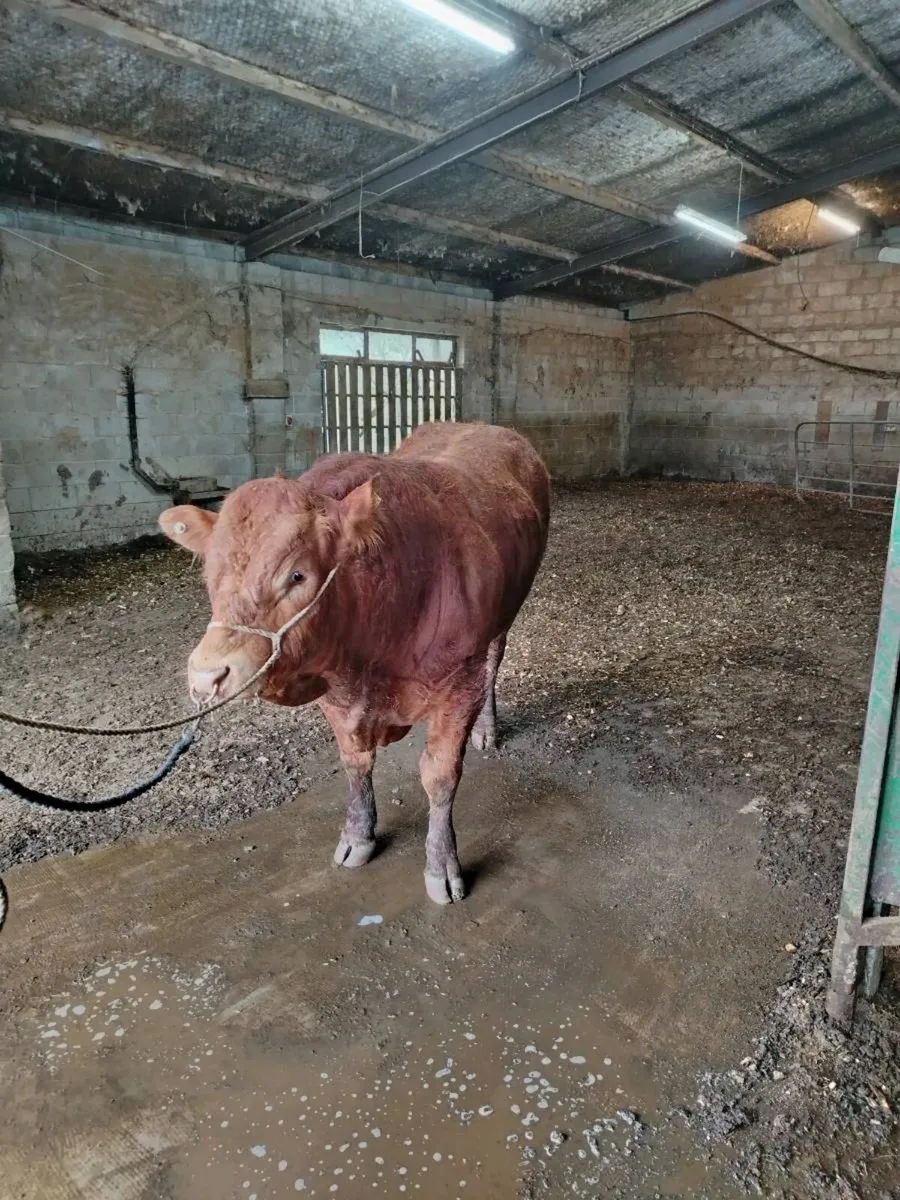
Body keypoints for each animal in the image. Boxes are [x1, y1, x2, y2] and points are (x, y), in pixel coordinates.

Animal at [159, 421, 550, 904]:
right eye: (209, 574)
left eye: (297, 575)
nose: (208, 673)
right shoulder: (335, 689)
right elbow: (355, 762)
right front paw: (358, 835)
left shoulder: (460, 681)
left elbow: (440, 775)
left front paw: (442, 865)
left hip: (505, 615)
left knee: (496, 660)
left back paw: (487, 729)